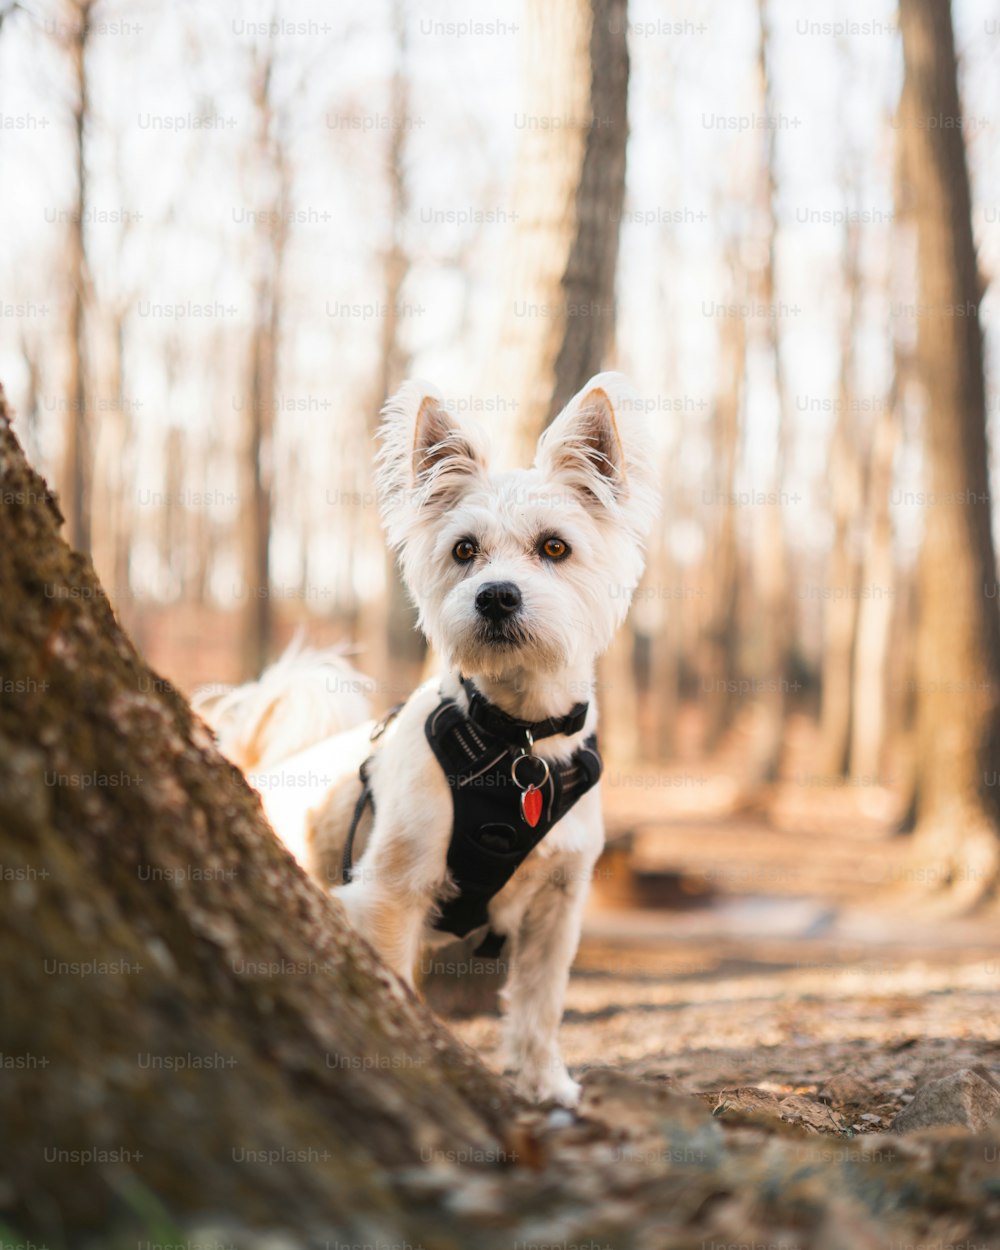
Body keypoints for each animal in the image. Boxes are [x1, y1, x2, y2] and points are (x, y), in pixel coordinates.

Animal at [198, 372, 660, 1105]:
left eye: (554, 546)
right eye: (464, 550)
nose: (495, 596)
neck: (515, 741)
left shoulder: (559, 907)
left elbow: (540, 1005)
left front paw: (546, 1084)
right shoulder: (391, 894)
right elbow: (396, 986)